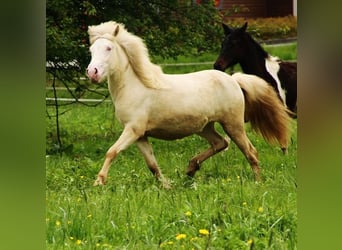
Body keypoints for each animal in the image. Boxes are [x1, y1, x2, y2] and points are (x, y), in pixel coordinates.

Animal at [86, 22, 292, 188]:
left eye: (108, 48)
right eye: (91, 50)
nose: (92, 73)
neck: (135, 86)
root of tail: (233, 79)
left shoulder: (133, 130)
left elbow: (111, 152)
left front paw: (98, 182)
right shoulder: (140, 136)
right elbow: (152, 165)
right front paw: (167, 186)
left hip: (233, 124)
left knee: (250, 151)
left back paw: (257, 182)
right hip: (205, 127)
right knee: (220, 143)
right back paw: (191, 169)